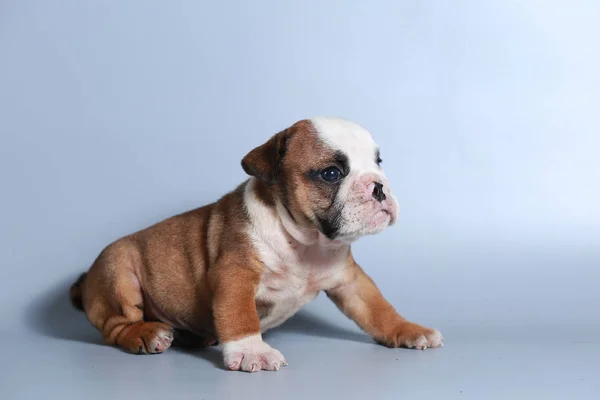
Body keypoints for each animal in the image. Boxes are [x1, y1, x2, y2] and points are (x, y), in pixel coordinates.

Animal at [71, 116, 446, 372]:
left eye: (377, 162)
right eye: (331, 173)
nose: (379, 185)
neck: (305, 242)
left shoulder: (351, 282)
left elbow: (379, 310)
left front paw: (408, 330)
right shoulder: (234, 274)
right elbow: (240, 315)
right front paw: (252, 350)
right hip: (118, 270)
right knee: (116, 326)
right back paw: (145, 335)